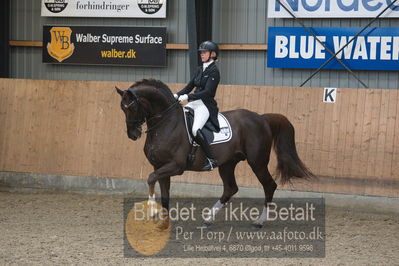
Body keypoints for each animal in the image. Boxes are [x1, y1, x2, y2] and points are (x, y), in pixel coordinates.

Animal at [115, 78, 316, 229]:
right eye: (122, 108)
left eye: (131, 107)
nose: (133, 135)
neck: (166, 123)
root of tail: (261, 118)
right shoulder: (161, 167)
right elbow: (164, 193)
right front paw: (163, 223)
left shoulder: (175, 166)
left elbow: (150, 178)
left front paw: (151, 209)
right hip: (227, 163)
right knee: (230, 188)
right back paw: (207, 219)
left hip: (257, 162)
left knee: (269, 185)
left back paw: (259, 221)